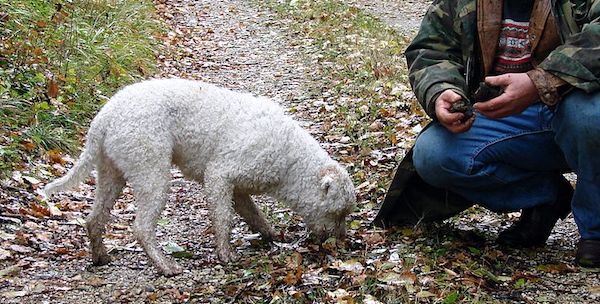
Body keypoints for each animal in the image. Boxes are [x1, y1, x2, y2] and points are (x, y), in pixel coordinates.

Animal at [45, 78, 356, 276]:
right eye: (338, 213)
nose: (342, 243)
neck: (290, 157)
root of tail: (104, 117)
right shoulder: (220, 175)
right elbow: (223, 219)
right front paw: (225, 254)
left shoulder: (238, 189)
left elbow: (254, 216)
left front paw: (269, 235)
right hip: (152, 173)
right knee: (142, 228)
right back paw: (165, 266)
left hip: (112, 174)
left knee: (94, 219)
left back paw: (101, 257)